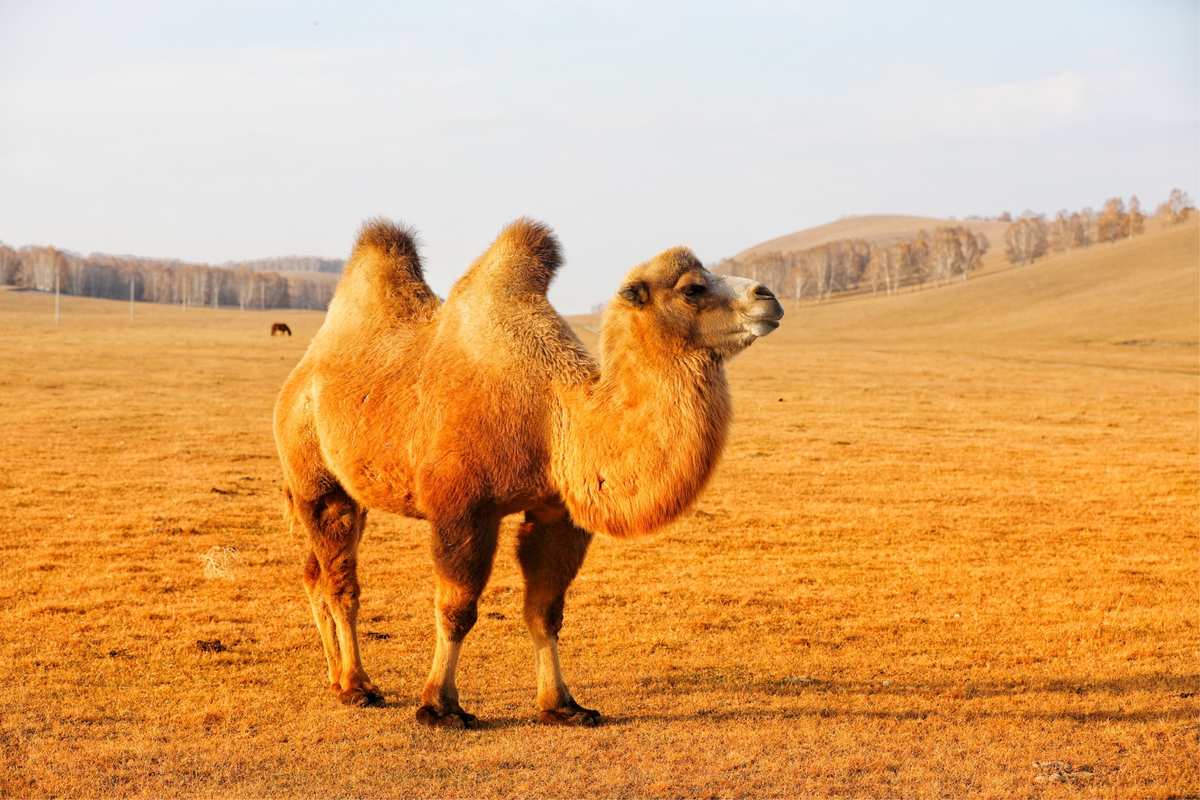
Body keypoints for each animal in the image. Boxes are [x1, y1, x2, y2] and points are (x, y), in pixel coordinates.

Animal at [273, 217, 783, 727]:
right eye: (692, 288)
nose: (768, 297)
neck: (554, 414)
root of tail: (302, 375)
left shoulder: (557, 511)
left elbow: (546, 610)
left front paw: (563, 705)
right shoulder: (463, 509)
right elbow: (458, 608)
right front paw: (440, 707)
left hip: (352, 491)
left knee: (314, 574)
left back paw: (337, 677)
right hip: (316, 480)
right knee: (341, 583)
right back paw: (357, 686)